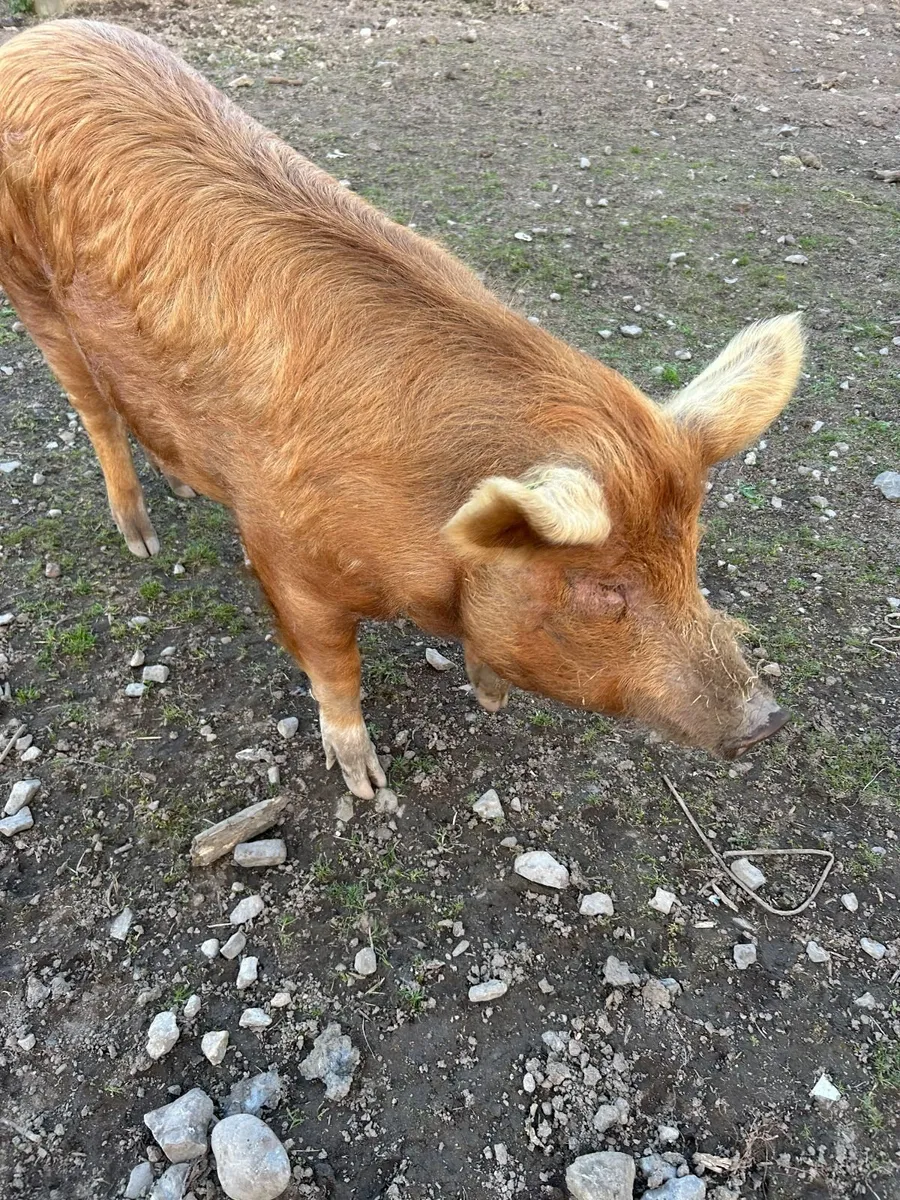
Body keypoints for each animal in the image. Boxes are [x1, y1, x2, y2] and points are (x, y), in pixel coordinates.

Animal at [0, 21, 803, 797]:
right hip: (30, 289)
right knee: (96, 411)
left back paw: (184, 489)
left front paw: (492, 699)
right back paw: (143, 541)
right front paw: (366, 785)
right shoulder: (284, 558)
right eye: (605, 588)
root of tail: (32, 40)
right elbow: (335, 668)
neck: (427, 526)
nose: (767, 722)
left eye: (690, 553)